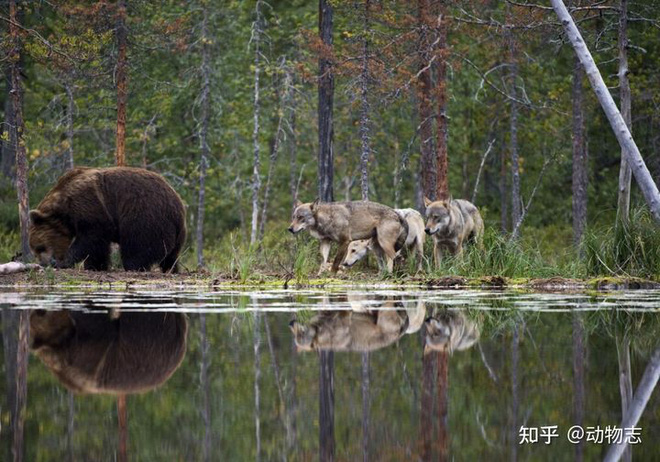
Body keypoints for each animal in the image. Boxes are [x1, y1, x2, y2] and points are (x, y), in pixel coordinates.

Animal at [29, 168, 186, 272]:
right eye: (35, 249)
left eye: (40, 247)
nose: (44, 263)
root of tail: (178, 206)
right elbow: (99, 247)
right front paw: (96, 266)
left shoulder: (89, 205)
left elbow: (90, 238)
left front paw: (64, 262)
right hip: (175, 232)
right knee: (171, 256)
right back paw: (171, 269)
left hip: (145, 216)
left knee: (138, 247)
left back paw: (134, 267)